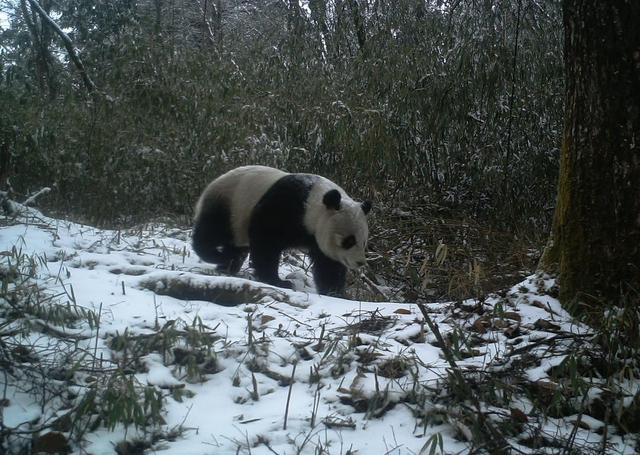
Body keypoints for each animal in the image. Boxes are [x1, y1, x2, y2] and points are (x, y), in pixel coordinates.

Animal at [191, 166, 370, 298]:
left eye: (363, 242)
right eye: (349, 240)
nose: (360, 262)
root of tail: (215, 181)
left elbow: (329, 265)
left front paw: (335, 293)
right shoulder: (285, 206)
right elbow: (266, 242)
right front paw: (278, 281)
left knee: (236, 246)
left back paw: (228, 264)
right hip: (231, 204)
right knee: (213, 231)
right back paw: (216, 256)